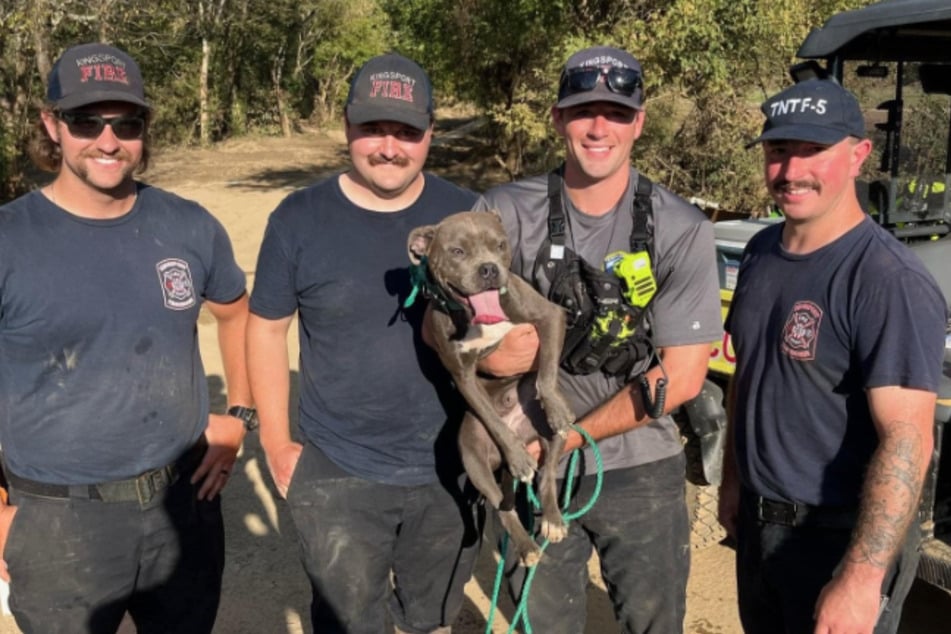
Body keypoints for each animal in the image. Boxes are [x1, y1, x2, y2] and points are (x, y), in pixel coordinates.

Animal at [408, 210, 576, 564]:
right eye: (458, 251)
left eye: (500, 245)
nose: (489, 269)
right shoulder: (462, 374)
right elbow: (493, 419)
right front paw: (518, 457)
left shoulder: (550, 316)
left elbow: (546, 374)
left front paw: (554, 405)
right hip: (473, 456)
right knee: (503, 506)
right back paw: (527, 547)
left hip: (552, 435)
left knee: (547, 477)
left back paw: (553, 520)